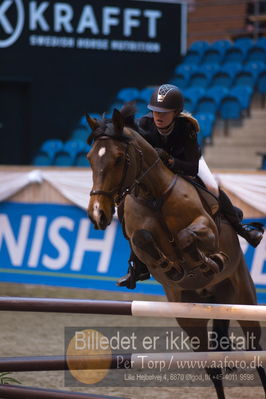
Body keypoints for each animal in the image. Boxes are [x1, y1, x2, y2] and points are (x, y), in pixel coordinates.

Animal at [85, 104, 266, 398]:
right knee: (213, 366)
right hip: (191, 317)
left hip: (243, 299)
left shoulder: (207, 229)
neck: (155, 196)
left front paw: (209, 261)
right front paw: (172, 267)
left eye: (119, 158)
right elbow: (145, 240)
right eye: (90, 158)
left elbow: (186, 237)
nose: (97, 214)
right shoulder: (139, 240)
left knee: (255, 353)